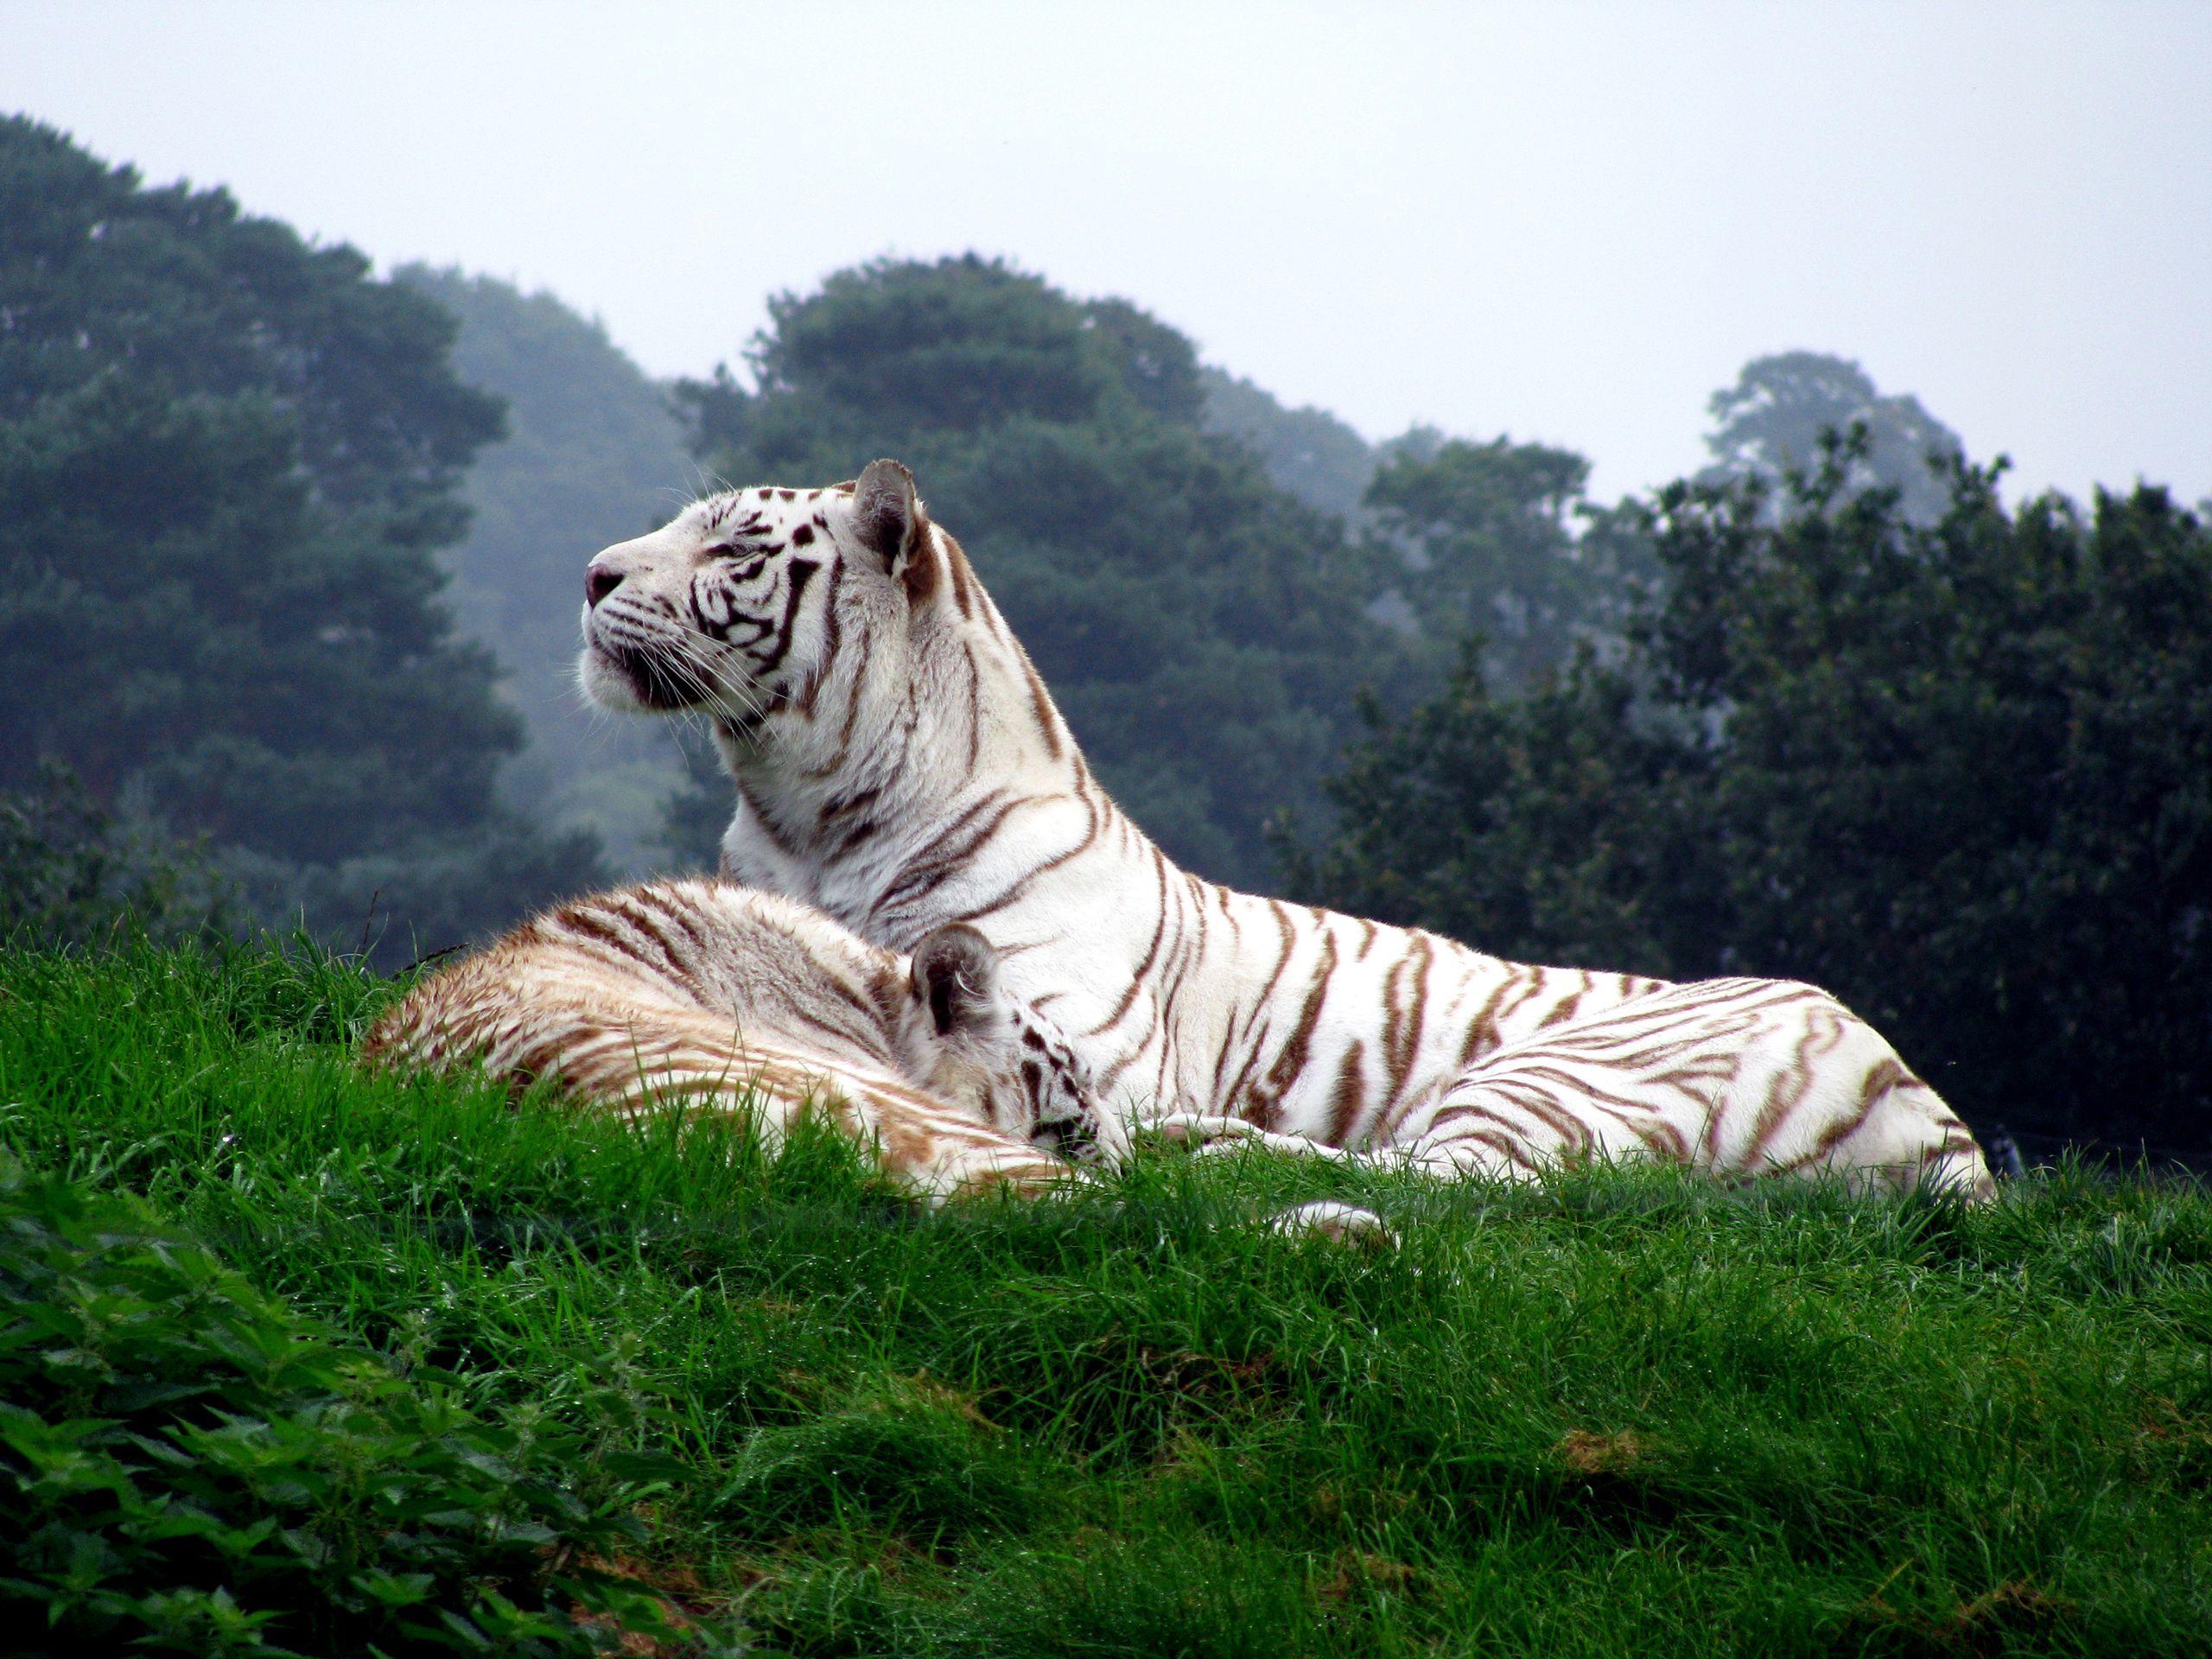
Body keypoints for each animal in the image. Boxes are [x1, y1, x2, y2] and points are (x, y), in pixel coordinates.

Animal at [575, 459, 1995, 1202]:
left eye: (737, 546)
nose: (589, 574)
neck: (803, 814)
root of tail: (1941, 1122)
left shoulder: (1076, 1035)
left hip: (1571, 1068)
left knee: (1467, 1181)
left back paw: (1215, 1149)